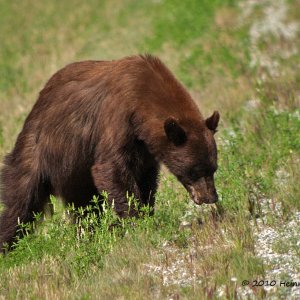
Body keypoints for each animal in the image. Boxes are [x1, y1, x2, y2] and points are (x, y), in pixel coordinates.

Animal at [0, 54, 220, 251]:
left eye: (213, 169)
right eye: (194, 171)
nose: (210, 198)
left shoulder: (144, 149)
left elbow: (146, 180)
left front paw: (145, 213)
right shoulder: (117, 120)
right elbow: (111, 170)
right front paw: (138, 223)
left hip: (75, 172)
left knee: (84, 206)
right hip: (39, 152)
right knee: (20, 203)